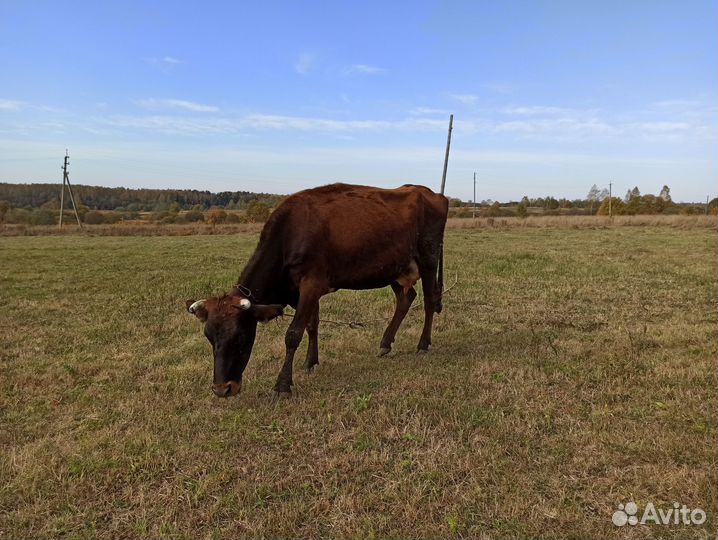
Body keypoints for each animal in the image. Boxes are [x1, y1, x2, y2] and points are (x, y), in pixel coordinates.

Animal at [186, 183, 448, 398]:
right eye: (209, 337)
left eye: (240, 336)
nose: (222, 389)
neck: (290, 232)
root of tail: (432, 193)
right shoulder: (300, 290)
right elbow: (312, 325)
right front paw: (310, 362)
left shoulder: (311, 284)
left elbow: (293, 334)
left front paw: (283, 385)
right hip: (394, 267)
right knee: (406, 298)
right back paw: (385, 343)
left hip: (428, 257)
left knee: (429, 300)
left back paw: (423, 344)